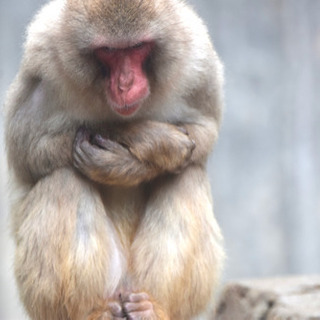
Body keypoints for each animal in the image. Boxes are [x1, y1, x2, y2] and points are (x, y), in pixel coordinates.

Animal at [4, 0, 225, 318]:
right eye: (108, 50)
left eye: (137, 47)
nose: (125, 83)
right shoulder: (42, 60)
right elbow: (26, 149)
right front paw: (151, 138)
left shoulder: (197, 58)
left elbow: (204, 132)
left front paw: (133, 162)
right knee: (64, 180)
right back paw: (90, 312)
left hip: (136, 283)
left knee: (186, 175)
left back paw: (152, 308)